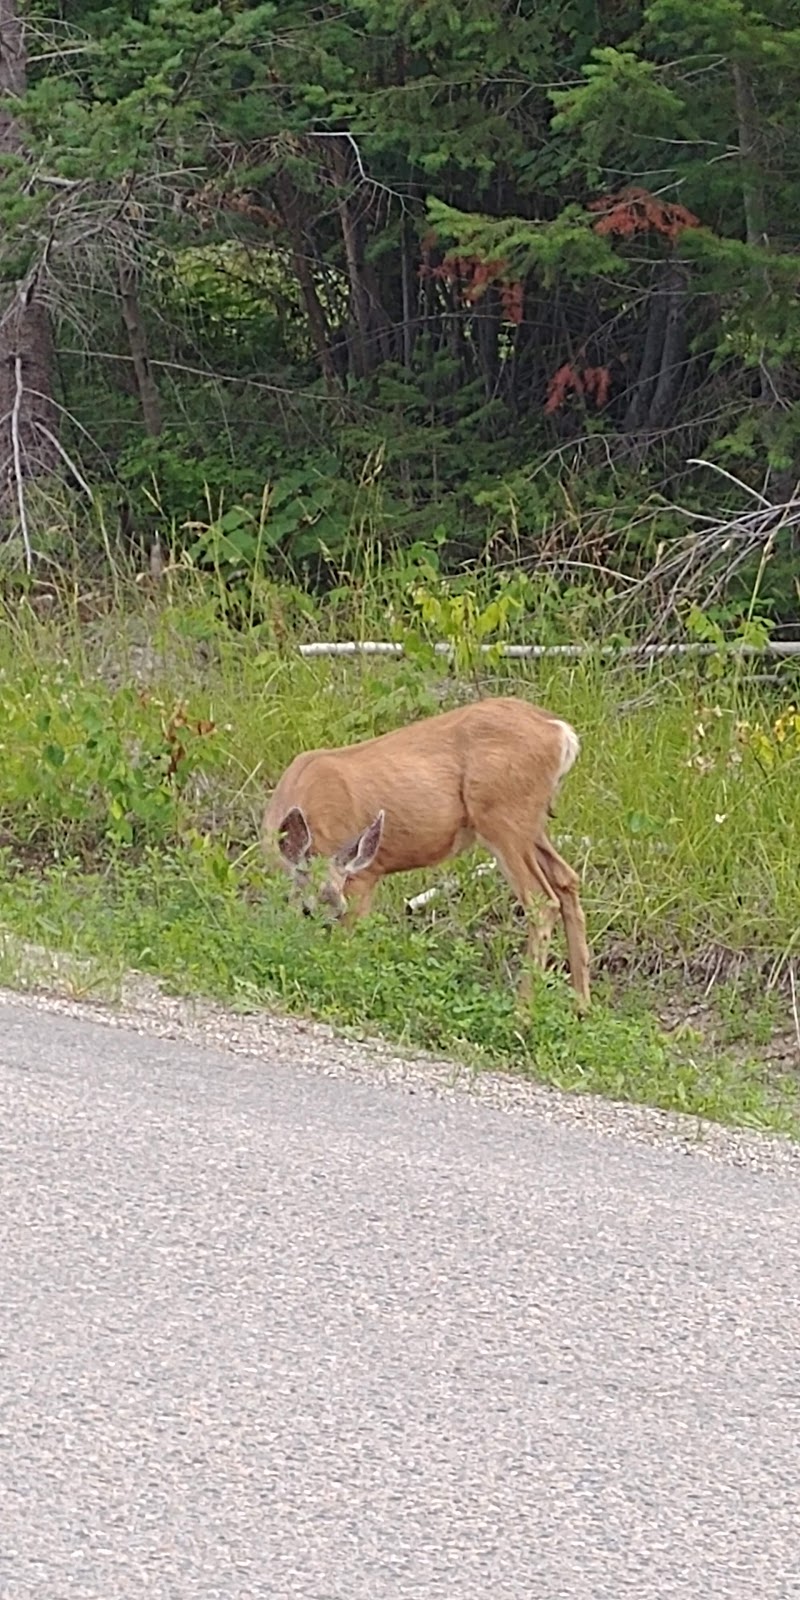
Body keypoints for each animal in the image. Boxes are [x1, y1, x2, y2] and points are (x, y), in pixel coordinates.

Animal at [260, 691, 588, 1011]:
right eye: (307, 911)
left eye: (335, 910)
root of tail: (560, 731)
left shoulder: (363, 875)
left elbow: (353, 931)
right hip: (531, 825)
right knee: (567, 879)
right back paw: (581, 1006)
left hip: (503, 817)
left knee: (541, 900)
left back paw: (523, 1011)